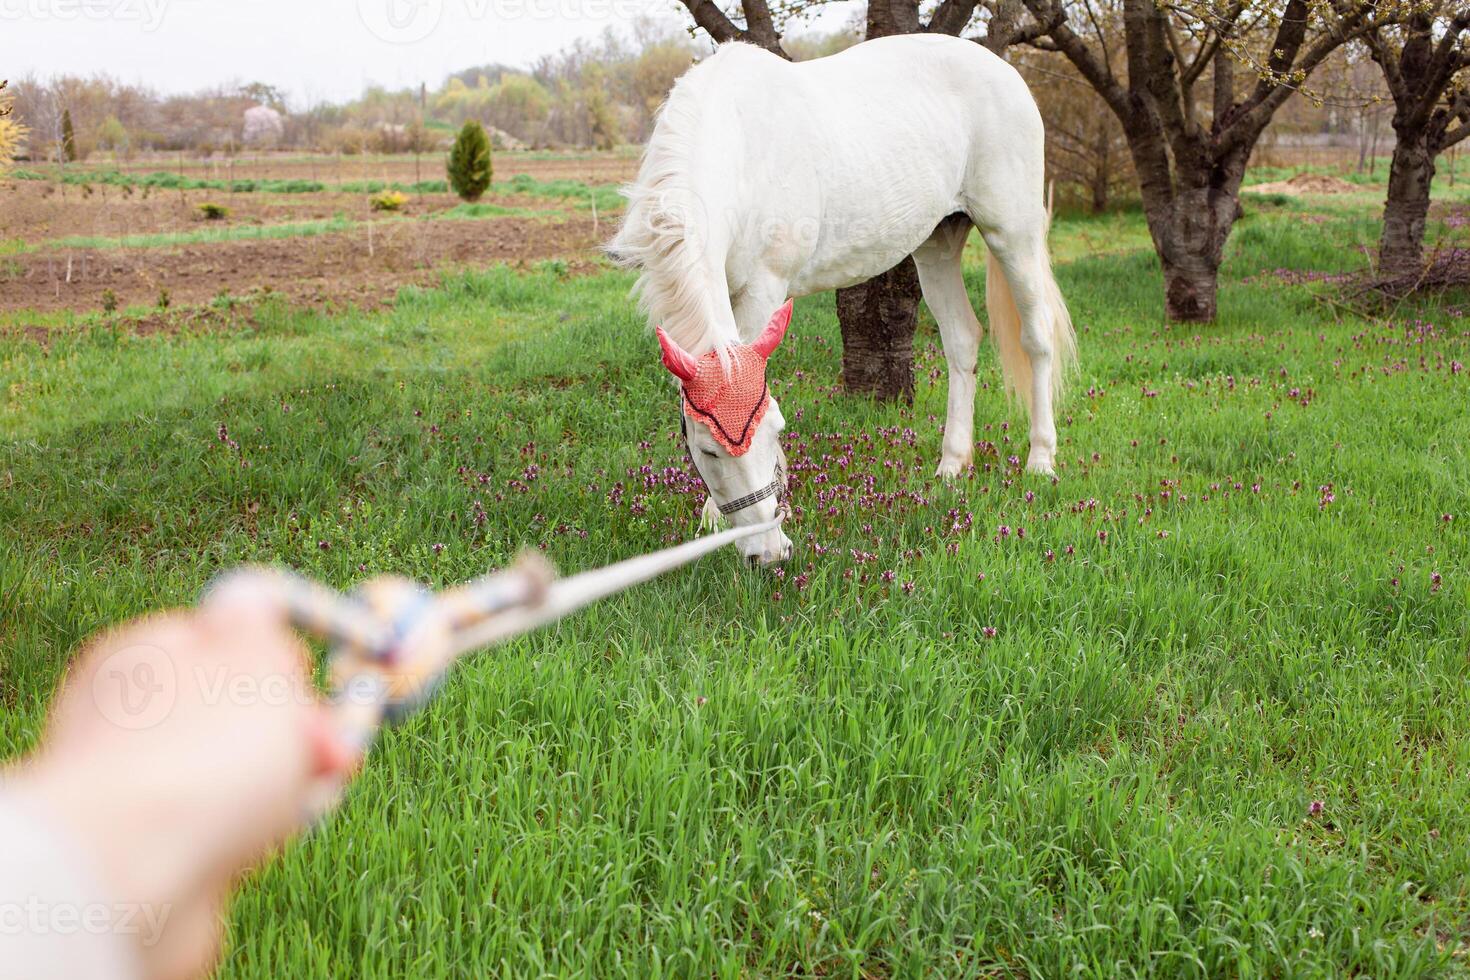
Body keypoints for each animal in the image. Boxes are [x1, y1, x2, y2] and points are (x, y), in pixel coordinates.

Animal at [608, 34, 1081, 567]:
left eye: (776, 430)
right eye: (708, 451)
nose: (769, 553)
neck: (742, 148)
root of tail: (1005, 70)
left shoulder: (763, 290)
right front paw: (712, 518)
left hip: (1012, 233)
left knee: (1036, 339)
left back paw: (1040, 460)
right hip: (937, 242)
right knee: (963, 339)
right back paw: (952, 465)